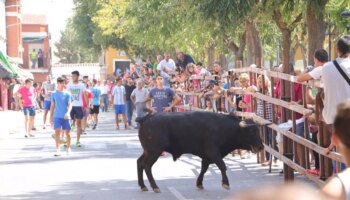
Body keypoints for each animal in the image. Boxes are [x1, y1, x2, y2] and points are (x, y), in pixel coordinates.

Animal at [135, 111, 264, 193]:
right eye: (251, 132)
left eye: (258, 131)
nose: (261, 147)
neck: (223, 127)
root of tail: (145, 119)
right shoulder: (212, 151)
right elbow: (222, 166)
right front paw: (226, 183)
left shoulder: (206, 156)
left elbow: (204, 169)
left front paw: (199, 183)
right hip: (154, 151)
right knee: (147, 165)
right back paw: (155, 187)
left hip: (148, 151)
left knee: (139, 162)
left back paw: (143, 186)